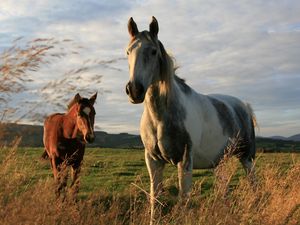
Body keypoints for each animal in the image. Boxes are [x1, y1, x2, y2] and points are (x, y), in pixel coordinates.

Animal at [125, 16, 256, 223]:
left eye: (153, 51)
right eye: (128, 51)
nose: (134, 90)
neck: (160, 118)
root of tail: (243, 106)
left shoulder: (185, 161)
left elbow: (183, 201)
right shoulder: (153, 161)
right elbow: (156, 200)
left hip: (247, 157)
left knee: (253, 184)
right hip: (220, 162)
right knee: (223, 190)